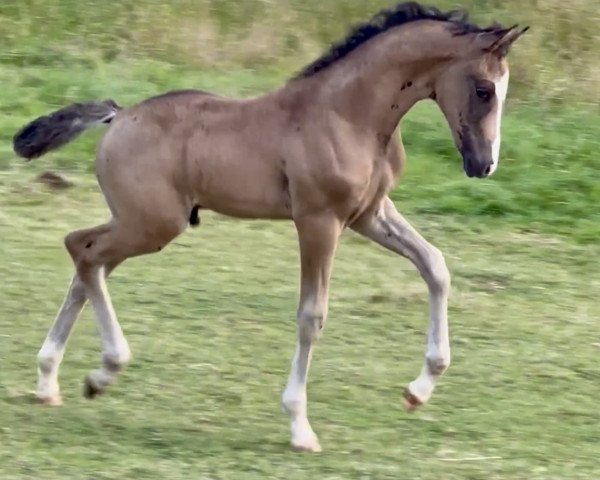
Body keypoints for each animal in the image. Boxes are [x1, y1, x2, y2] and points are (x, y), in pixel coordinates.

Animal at [14, 1, 528, 452]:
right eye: (484, 90)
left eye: (503, 91)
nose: (483, 165)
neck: (349, 114)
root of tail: (117, 116)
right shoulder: (319, 222)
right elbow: (312, 316)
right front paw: (300, 427)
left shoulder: (369, 214)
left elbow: (435, 266)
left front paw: (419, 389)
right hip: (152, 225)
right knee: (81, 249)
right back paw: (103, 369)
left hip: (139, 223)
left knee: (87, 263)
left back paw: (52, 380)